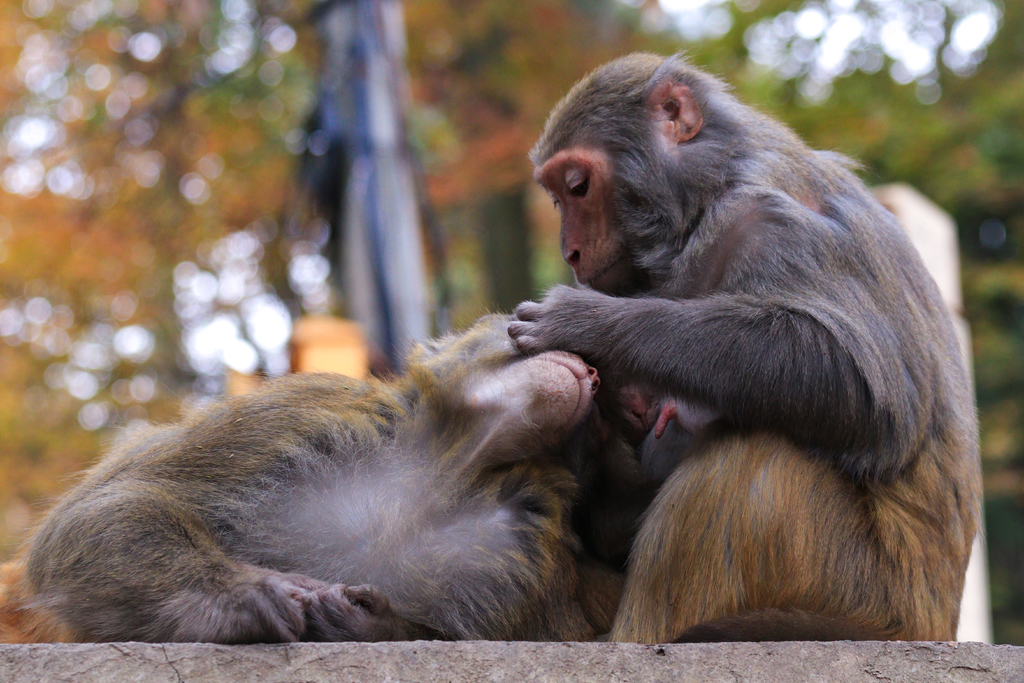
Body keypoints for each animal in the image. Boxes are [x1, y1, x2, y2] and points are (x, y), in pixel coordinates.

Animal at [2, 317, 647, 643]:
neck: (450, 468)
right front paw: (228, 598)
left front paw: (371, 625)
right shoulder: (305, 410)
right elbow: (105, 509)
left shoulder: (518, 558)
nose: (592, 371)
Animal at [512, 52, 983, 643]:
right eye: (556, 194)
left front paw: (589, 323)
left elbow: (867, 391)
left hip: (861, 594)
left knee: (753, 459)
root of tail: (934, 624)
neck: (715, 185)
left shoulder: (768, 223)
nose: (569, 252)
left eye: (577, 186)